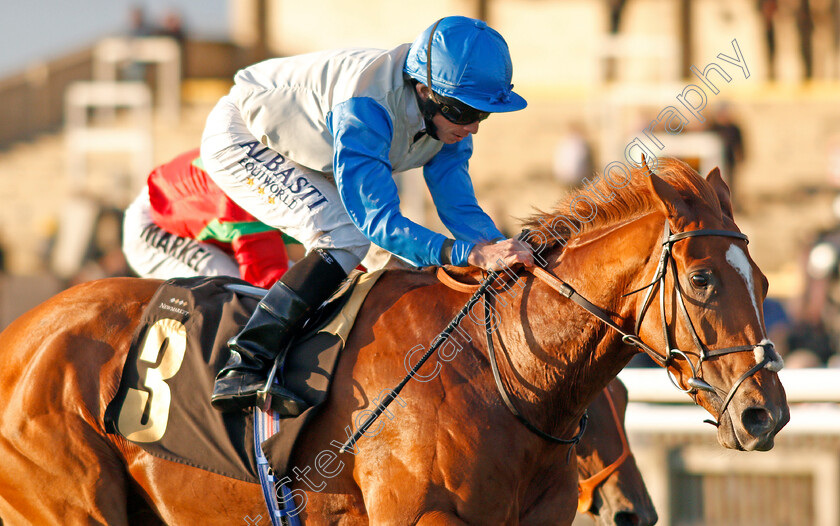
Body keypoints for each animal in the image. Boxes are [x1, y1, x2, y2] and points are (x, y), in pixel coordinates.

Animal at [0, 159, 788, 524]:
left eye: (764, 281)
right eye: (704, 280)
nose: (766, 414)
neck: (495, 370)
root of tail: (21, 335)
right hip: (69, 501)